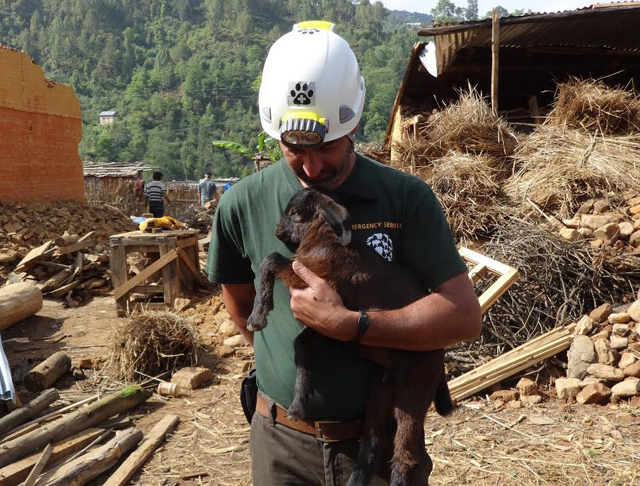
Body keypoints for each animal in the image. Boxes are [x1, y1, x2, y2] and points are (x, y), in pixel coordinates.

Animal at [246, 188, 456, 484]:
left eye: (296, 214)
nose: (277, 230)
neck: (326, 241)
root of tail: (440, 357)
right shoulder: (326, 326)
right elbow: (301, 344)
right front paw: (299, 404)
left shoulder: (320, 282)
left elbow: (271, 259)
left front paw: (257, 317)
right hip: (380, 387)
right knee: (374, 440)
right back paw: (355, 478)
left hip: (416, 386)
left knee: (405, 454)